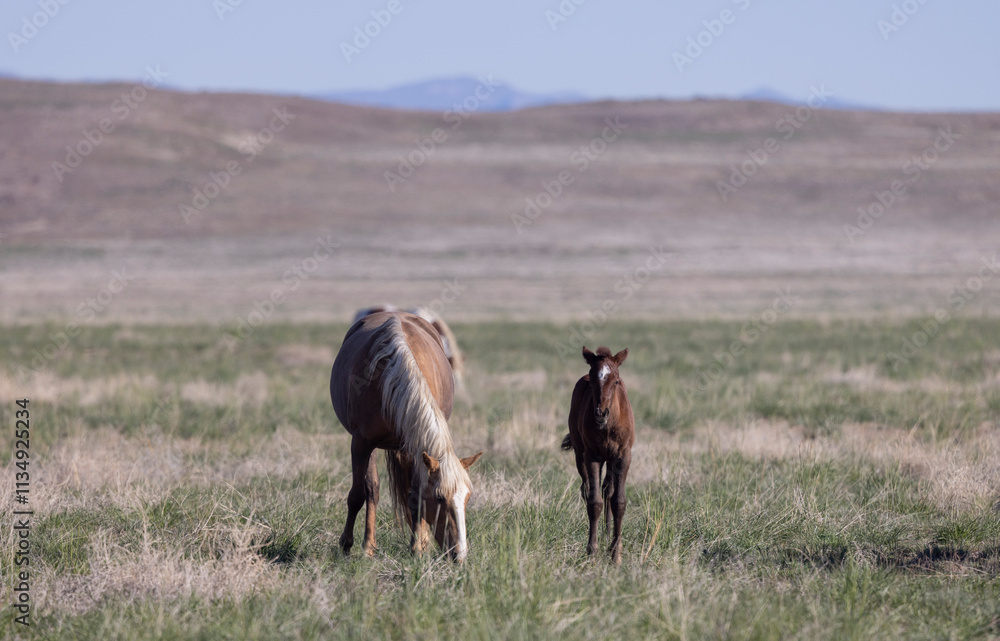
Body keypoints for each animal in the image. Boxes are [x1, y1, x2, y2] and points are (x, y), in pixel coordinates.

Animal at [331, 311, 482, 562]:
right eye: (440, 498)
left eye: (468, 497)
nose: (460, 555)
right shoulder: (361, 443)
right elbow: (359, 494)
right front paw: (347, 545)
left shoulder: (416, 449)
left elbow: (415, 496)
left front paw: (418, 548)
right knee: (372, 489)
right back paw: (368, 545)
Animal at [561, 346, 635, 565]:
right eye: (593, 380)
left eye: (616, 381)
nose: (601, 413)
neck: (608, 427)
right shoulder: (592, 456)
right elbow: (594, 502)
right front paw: (592, 551)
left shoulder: (623, 456)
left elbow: (618, 502)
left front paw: (615, 553)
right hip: (581, 455)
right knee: (587, 490)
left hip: (610, 459)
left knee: (607, 490)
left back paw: (606, 533)